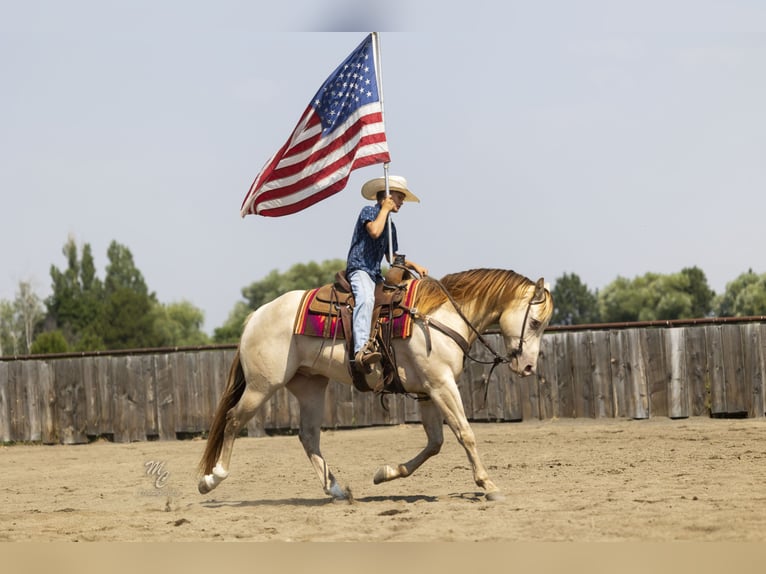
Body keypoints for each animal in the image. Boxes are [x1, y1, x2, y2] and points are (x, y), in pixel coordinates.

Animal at [198, 268, 556, 502]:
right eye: (535, 322)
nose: (527, 366)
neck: (438, 317)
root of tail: (256, 317)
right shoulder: (441, 385)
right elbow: (464, 433)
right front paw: (488, 484)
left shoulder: (427, 392)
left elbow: (435, 443)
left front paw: (384, 473)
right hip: (262, 385)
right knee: (232, 420)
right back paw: (211, 478)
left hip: (311, 386)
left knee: (308, 436)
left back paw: (336, 490)